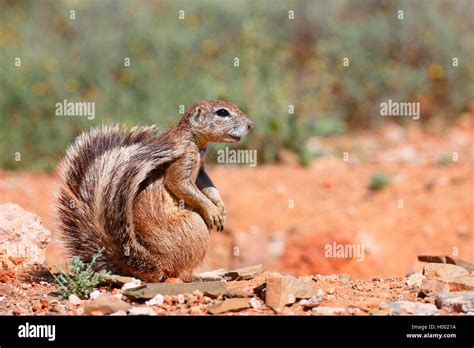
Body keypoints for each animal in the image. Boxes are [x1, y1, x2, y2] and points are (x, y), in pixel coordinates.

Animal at [56, 99, 254, 282]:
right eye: (222, 112)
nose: (250, 125)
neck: (195, 141)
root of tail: (156, 265)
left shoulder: (201, 170)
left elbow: (208, 185)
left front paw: (220, 206)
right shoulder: (183, 161)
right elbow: (178, 183)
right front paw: (212, 210)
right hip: (195, 225)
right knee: (182, 275)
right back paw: (210, 275)